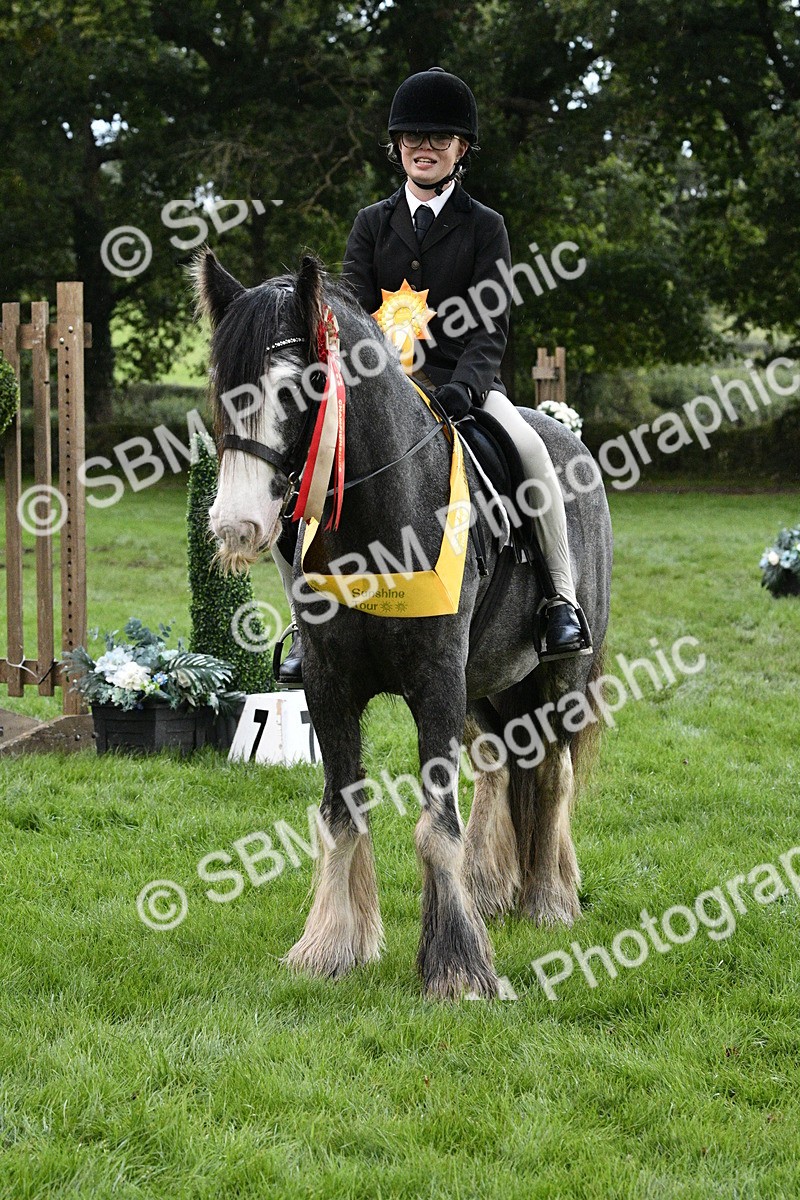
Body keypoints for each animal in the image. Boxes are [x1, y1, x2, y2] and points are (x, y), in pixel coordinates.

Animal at [194, 250, 613, 1000]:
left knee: (553, 775)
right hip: (489, 683)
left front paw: (458, 968)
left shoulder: (436, 682)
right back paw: (491, 887)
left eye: (303, 385)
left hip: (560, 678)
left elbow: (433, 827)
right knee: (503, 766)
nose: (236, 526)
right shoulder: (330, 687)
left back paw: (549, 898)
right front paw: (333, 947)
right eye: (223, 386)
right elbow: (341, 813)